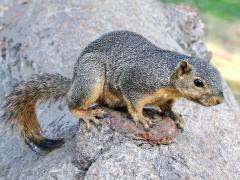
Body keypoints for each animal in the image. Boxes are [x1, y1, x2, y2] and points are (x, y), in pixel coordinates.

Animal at [1, 30, 223, 150]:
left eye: (220, 76)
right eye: (198, 82)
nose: (220, 100)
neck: (167, 74)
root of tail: (73, 81)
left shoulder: (166, 98)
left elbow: (167, 108)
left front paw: (175, 116)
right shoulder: (135, 82)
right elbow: (134, 103)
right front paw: (141, 118)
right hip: (91, 77)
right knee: (73, 104)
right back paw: (87, 113)